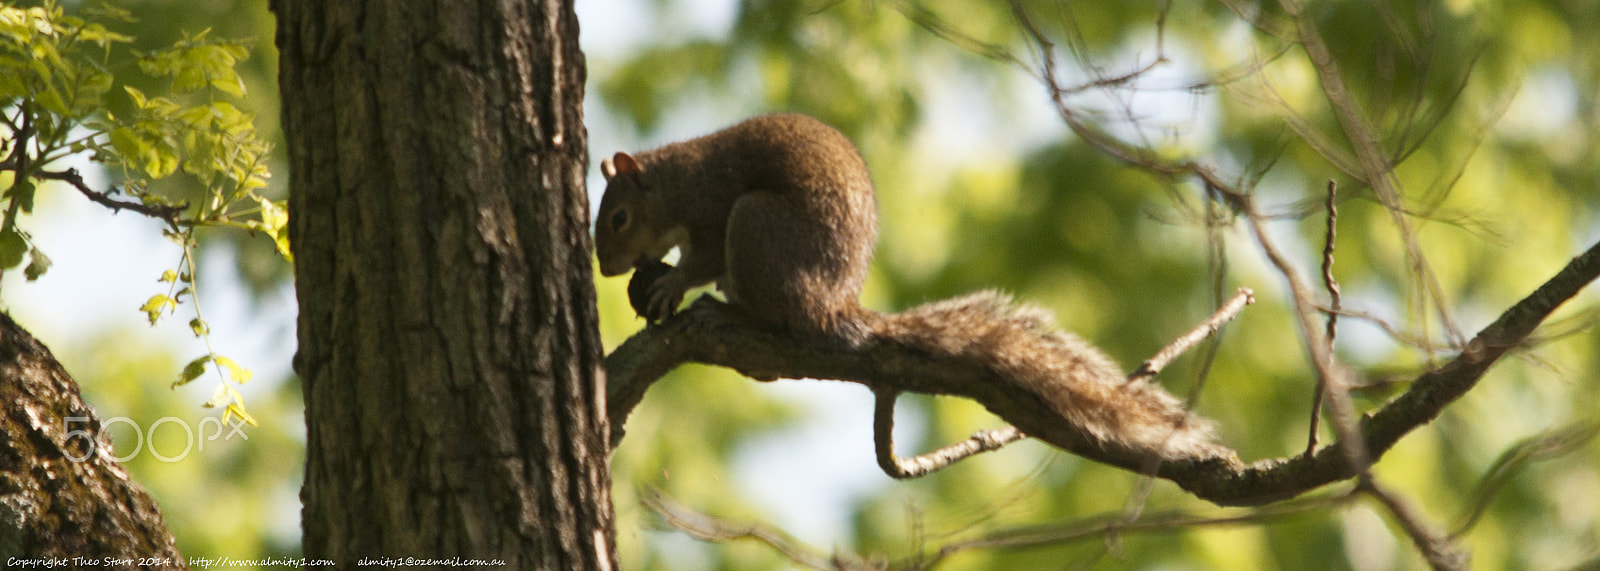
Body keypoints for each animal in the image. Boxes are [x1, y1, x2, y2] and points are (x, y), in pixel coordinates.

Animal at [595, 113, 1231, 467]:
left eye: (619, 218)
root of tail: (833, 307)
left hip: (754, 227)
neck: (674, 181)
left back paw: (729, 314)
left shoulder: (711, 209)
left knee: (774, 315)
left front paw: (672, 282)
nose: (603, 268)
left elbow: (699, 259)